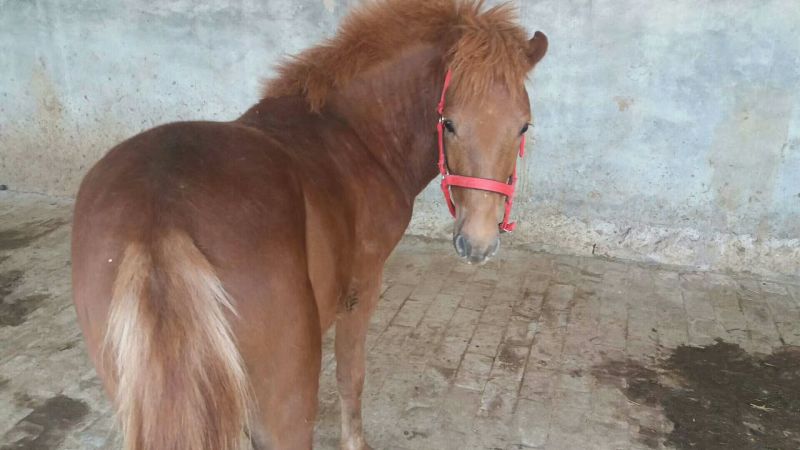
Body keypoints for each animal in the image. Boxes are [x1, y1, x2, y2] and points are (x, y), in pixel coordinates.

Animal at [70, 0, 548, 448]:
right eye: (448, 123)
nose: (477, 243)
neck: (353, 132)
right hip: (287, 399)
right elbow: (351, 376)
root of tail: (160, 218)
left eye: (522, 127)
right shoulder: (360, 290)